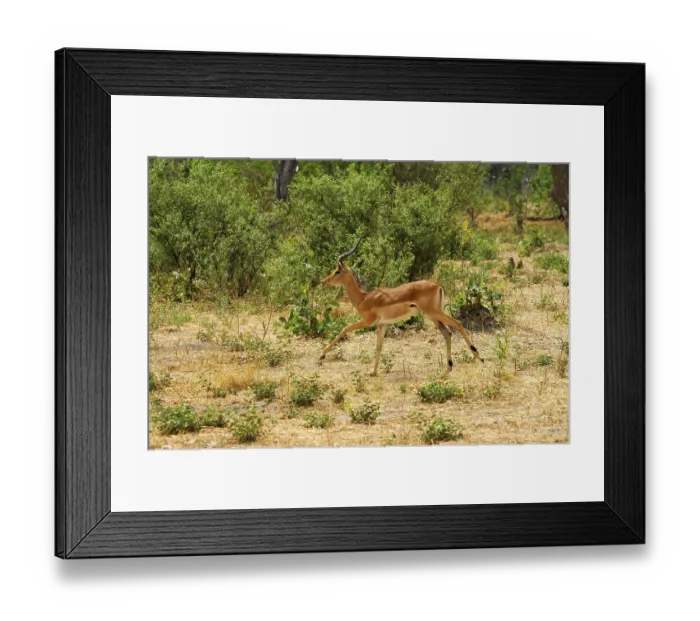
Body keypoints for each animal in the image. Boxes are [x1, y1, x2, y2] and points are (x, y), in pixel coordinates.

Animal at [320, 240, 484, 375]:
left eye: (337, 271)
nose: (323, 282)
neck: (363, 298)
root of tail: (437, 285)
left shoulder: (367, 321)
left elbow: (344, 329)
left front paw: (322, 355)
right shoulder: (382, 325)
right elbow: (378, 346)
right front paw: (373, 372)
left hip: (435, 312)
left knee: (458, 324)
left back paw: (479, 357)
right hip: (433, 316)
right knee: (447, 333)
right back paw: (448, 368)